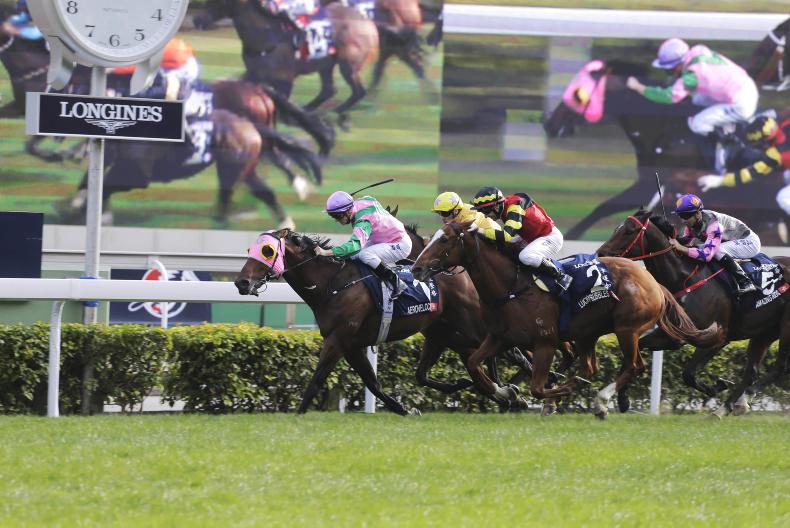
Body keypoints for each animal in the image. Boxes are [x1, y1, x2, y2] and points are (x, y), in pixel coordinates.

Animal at [411, 221, 724, 418]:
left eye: (445, 239)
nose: (416, 268)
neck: (511, 287)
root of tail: (653, 281)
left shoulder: (545, 342)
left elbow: (537, 387)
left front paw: (532, 396)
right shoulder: (500, 337)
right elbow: (475, 366)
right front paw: (506, 393)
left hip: (627, 328)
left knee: (634, 365)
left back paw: (601, 401)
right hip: (588, 333)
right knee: (590, 367)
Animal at [597, 209, 790, 416]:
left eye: (629, 231)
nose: (601, 254)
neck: (686, 279)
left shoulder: (717, 339)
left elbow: (688, 374)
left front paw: (717, 386)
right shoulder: (674, 336)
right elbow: (634, 354)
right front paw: (621, 399)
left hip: (785, 327)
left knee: (779, 368)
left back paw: (736, 402)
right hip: (764, 331)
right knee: (752, 371)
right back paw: (732, 405)